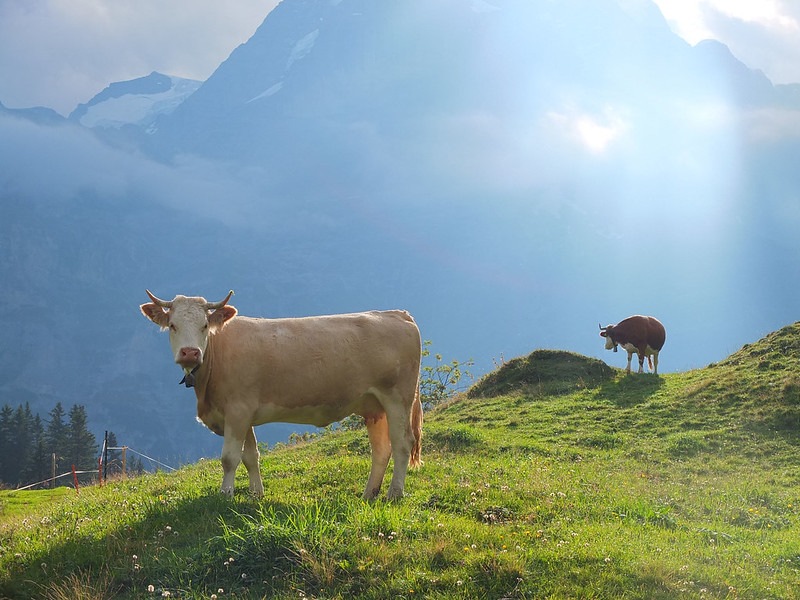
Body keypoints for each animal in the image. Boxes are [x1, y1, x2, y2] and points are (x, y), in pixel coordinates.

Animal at [141, 288, 424, 500]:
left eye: (204, 325)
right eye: (173, 325)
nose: (190, 352)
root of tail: (398, 314)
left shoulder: (237, 411)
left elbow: (229, 458)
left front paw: (225, 494)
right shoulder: (244, 413)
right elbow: (251, 457)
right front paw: (256, 494)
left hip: (398, 398)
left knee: (402, 443)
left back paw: (394, 494)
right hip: (374, 407)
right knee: (381, 449)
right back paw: (369, 494)